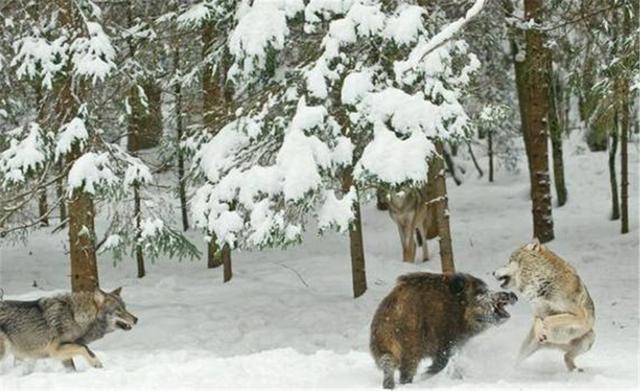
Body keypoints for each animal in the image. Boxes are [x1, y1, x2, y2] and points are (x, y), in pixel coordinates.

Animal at [0, 288, 138, 370]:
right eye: (118, 310)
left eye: (125, 308)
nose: (136, 319)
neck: (74, 316)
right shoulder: (55, 350)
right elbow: (84, 348)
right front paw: (96, 363)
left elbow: (73, 365)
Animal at [370, 272, 516, 388]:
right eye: (479, 292)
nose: (512, 295)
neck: (458, 310)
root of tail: (393, 311)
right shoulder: (446, 341)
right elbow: (442, 362)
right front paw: (425, 375)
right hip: (410, 348)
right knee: (406, 371)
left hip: (384, 346)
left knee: (388, 363)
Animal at [496, 239, 596, 374]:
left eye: (510, 260)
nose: (492, 272)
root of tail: (555, 345)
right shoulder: (538, 311)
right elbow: (538, 320)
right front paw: (541, 332)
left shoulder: (580, 316)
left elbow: (549, 319)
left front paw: (544, 330)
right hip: (528, 348)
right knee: (518, 362)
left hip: (590, 337)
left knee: (566, 356)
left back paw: (575, 371)